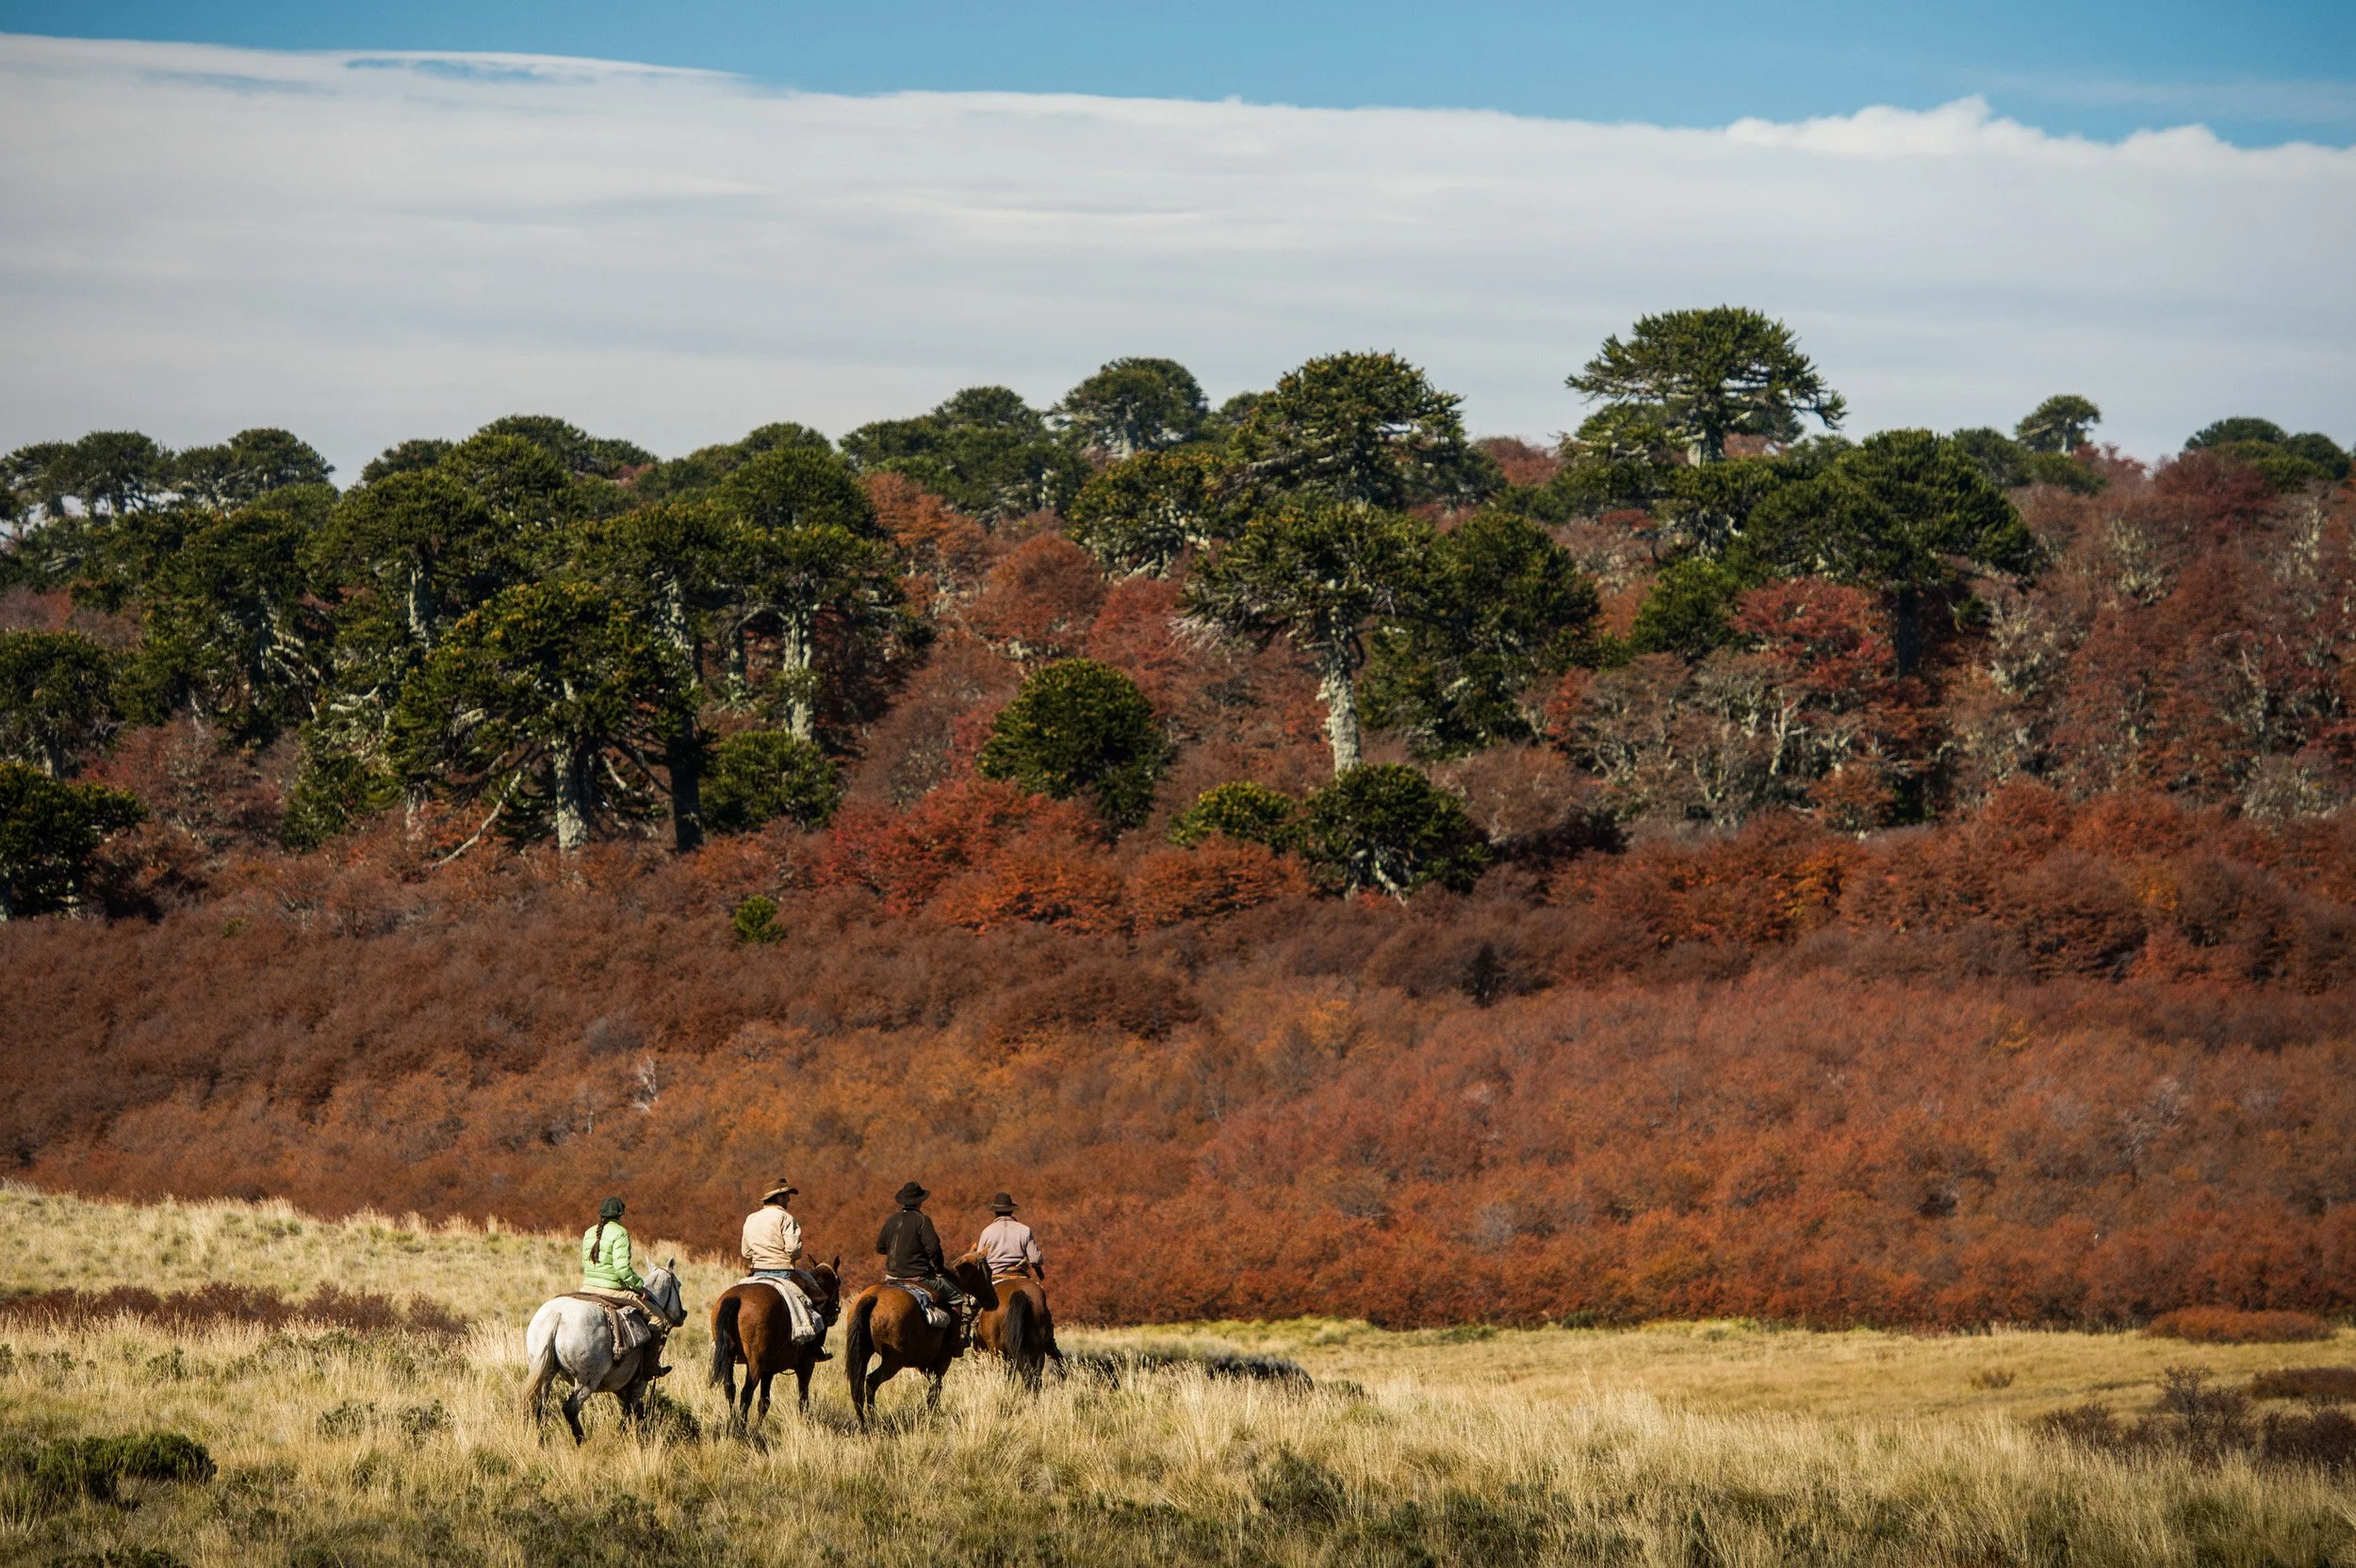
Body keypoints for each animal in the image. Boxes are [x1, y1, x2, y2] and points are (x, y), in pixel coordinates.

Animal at [523, 1261, 687, 1445]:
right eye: (679, 1284)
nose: (683, 1314)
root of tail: (557, 1315)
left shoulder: (620, 1386)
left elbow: (638, 1411)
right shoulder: (638, 1384)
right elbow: (629, 1413)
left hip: (547, 1372)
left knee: (540, 1406)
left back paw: (541, 1442)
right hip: (587, 1381)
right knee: (570, 1409)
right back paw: (582, 1442)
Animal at [708, 1256, 842, 1431]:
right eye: (838, 1281)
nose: (835, 1314)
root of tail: (737, 1297)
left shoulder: (769, 1370)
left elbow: (764, 1401)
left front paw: (758, 1428)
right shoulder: (806, 1364)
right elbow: (803, 1399)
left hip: (730, 1357)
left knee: (730, 1387)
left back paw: (733, 1423)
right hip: (755, 1362)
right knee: (746, 1392)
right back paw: (741, 1428)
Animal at [842, 1253, 997, 1424]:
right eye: (988, 1271)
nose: (994, 1301)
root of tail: (875, 1296)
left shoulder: (924, 1363)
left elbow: (933, 1388)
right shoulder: (942, 1360)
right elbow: (936, 1387)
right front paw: (933, 1414)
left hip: (863, 1354)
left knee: (857, 1388)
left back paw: (863, 1423)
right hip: (893, 1361)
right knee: (871, 1382)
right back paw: (874, 1420)